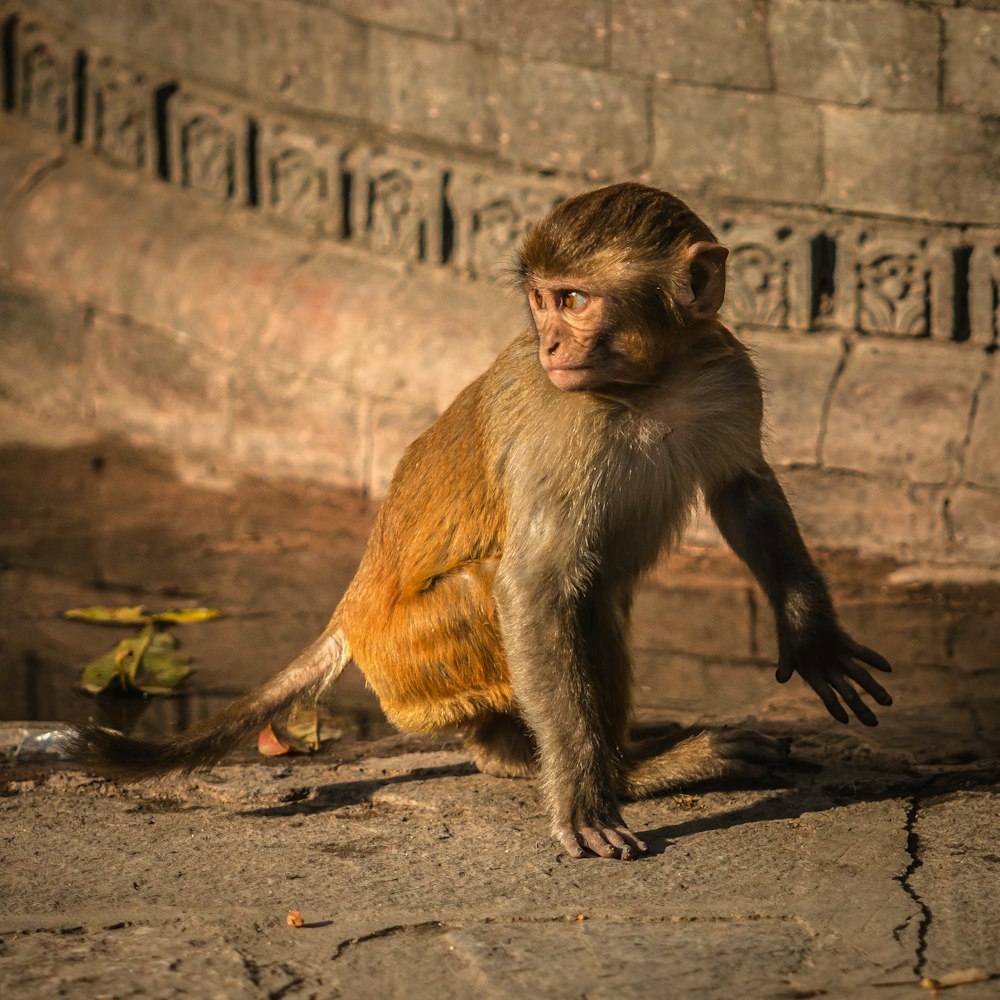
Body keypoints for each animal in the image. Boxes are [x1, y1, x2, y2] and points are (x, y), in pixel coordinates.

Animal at [62, 186, 892, 860]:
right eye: (544, 301)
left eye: (575, 299)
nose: (551, 342)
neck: (651, 383)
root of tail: (349, 614)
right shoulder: (565, 428)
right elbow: (533, 587)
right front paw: (583, 801)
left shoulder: (727, 373)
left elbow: (743, 490)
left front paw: (814, 641)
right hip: (417, 655)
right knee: (544, 591)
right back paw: (602, 766)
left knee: (600, 594)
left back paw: (630, 750)